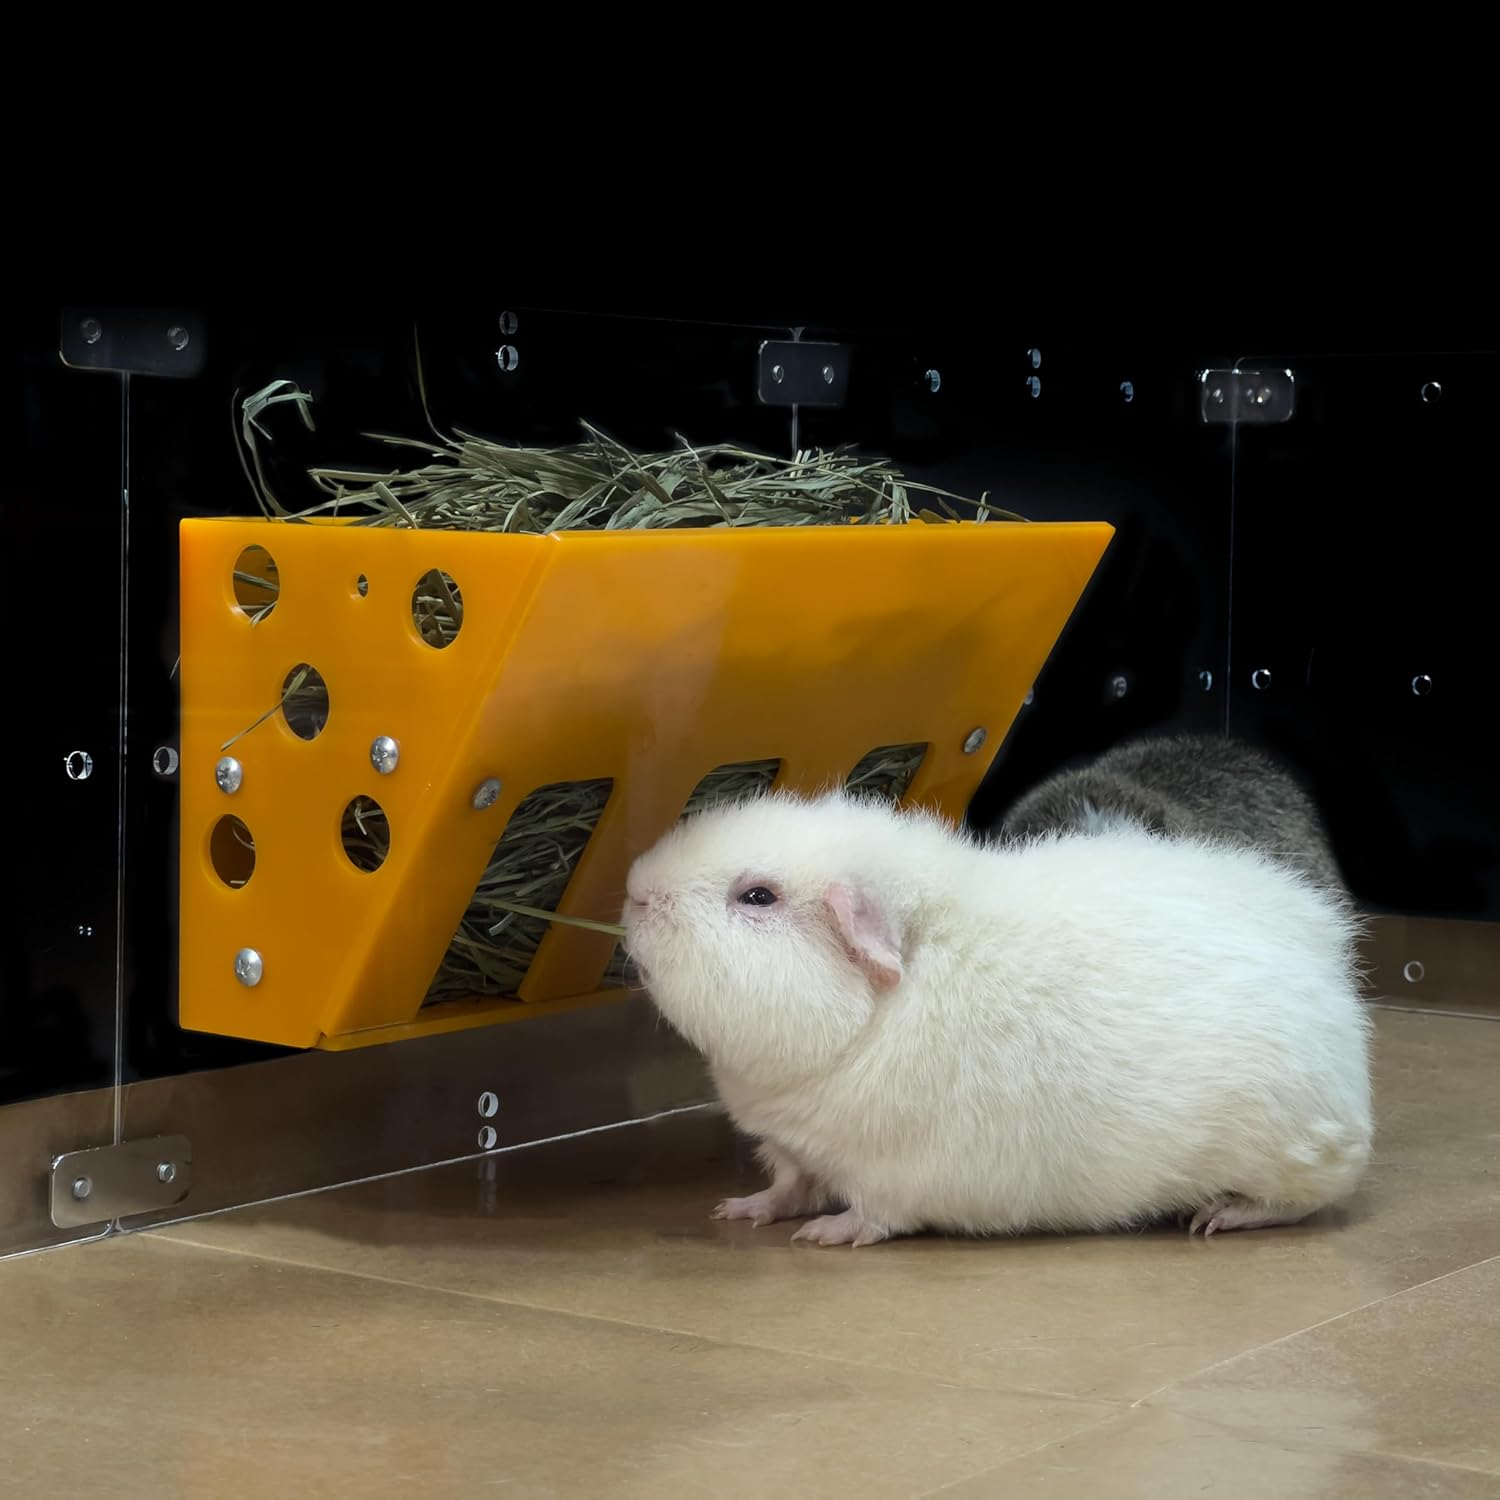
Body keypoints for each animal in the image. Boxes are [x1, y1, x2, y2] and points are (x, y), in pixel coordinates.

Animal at [621, 789, 1372, 1248]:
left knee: (1308, 1197)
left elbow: (871, 1214)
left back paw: (1215, 1217)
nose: (633, 891)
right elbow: (788, 1186)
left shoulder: (891, 1177)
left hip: (1292, 1156)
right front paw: (739, 1212)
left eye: (758, 896)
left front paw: (824, 1236)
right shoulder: (791, 1150)